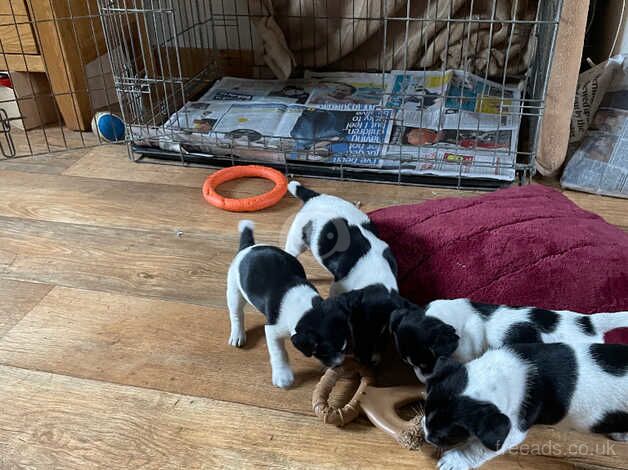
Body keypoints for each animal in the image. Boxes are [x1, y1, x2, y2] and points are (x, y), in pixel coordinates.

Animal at [422, 342, 628, 470]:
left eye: (446, 436)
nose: (426, 436)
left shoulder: (511, 430)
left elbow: (477, 448)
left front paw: (453, 460)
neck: (499, 375)